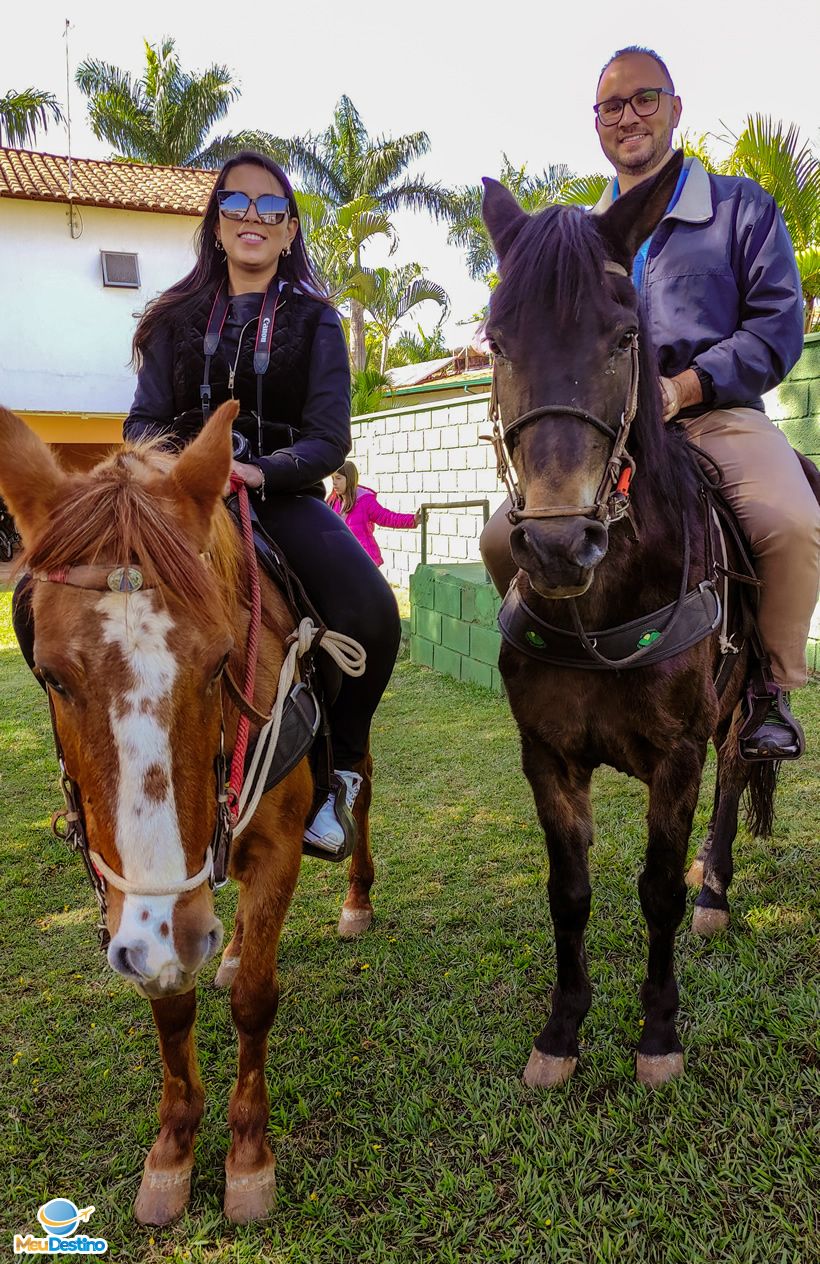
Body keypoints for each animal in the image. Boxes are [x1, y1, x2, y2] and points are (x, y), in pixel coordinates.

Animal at [0, 401, 376, 1223]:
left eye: (219, 662)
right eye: (50, 674)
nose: (178, 931)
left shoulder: (275, 849)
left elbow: (256, 1000)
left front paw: (248, 1156)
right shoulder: (136, 911)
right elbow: (170, 1006)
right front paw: (173, 1152)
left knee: (361, 791)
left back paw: (356, 894)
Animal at [482, 155, 813, 1087]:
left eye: (625, 339)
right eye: (497, 342)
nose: (558, 543)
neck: (603, 605)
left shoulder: (678, 753)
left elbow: (657, 888)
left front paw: (658, 1032)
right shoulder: (548, 755)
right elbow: (570, 893)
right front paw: (563, 1028)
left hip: (738, 710)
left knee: (739, 771)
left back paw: (716, 888)